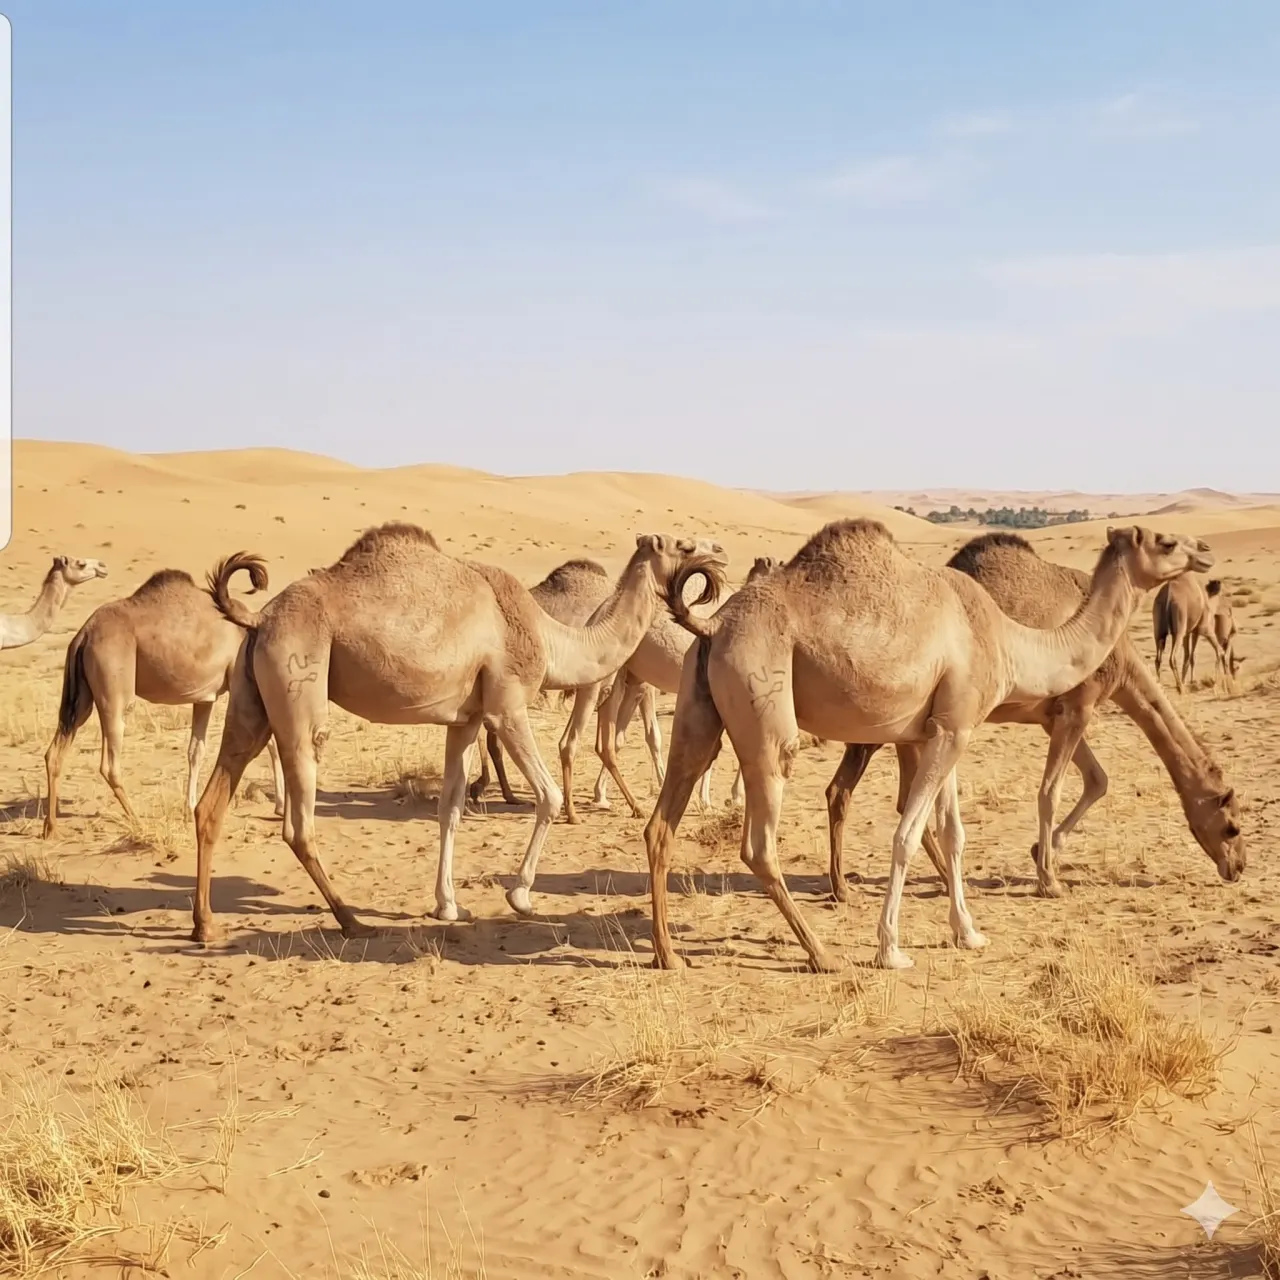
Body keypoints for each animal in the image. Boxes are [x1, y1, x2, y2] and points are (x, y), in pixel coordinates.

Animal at [43, 565, 286, 840]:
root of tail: (84, 633)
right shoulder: (239, 683)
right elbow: (270, 744)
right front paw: (280, 807)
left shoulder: (205, 697)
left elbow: (196, 750)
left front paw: (189, 808)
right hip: (114, 691)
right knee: (110, 763)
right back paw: (138, 821)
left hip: (82, 697)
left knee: (55, 751)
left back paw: (50, 827)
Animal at [189, 523, 726, 943]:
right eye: (682, 543)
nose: (718, 551)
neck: (550, 637)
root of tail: (258, 616)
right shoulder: (507, 704)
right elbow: (548, 796)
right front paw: (520, 895)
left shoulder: (464, 720)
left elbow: (450, 809)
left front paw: (448, 905)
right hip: (299, 684)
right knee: (299, 821)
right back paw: (351, 920)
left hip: (250, 698)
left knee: (212, 802)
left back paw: (205, 924)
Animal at [823, 531, 1246, 904]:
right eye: (1231, 826)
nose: (1238, 867)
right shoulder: (1078, 706)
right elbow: (1052, 791)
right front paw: (1047, 878)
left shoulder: (1052, 716)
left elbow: (1097, 780)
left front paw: (1042, 851)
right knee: (847, 791)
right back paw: (854, 887)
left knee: (868, 794)